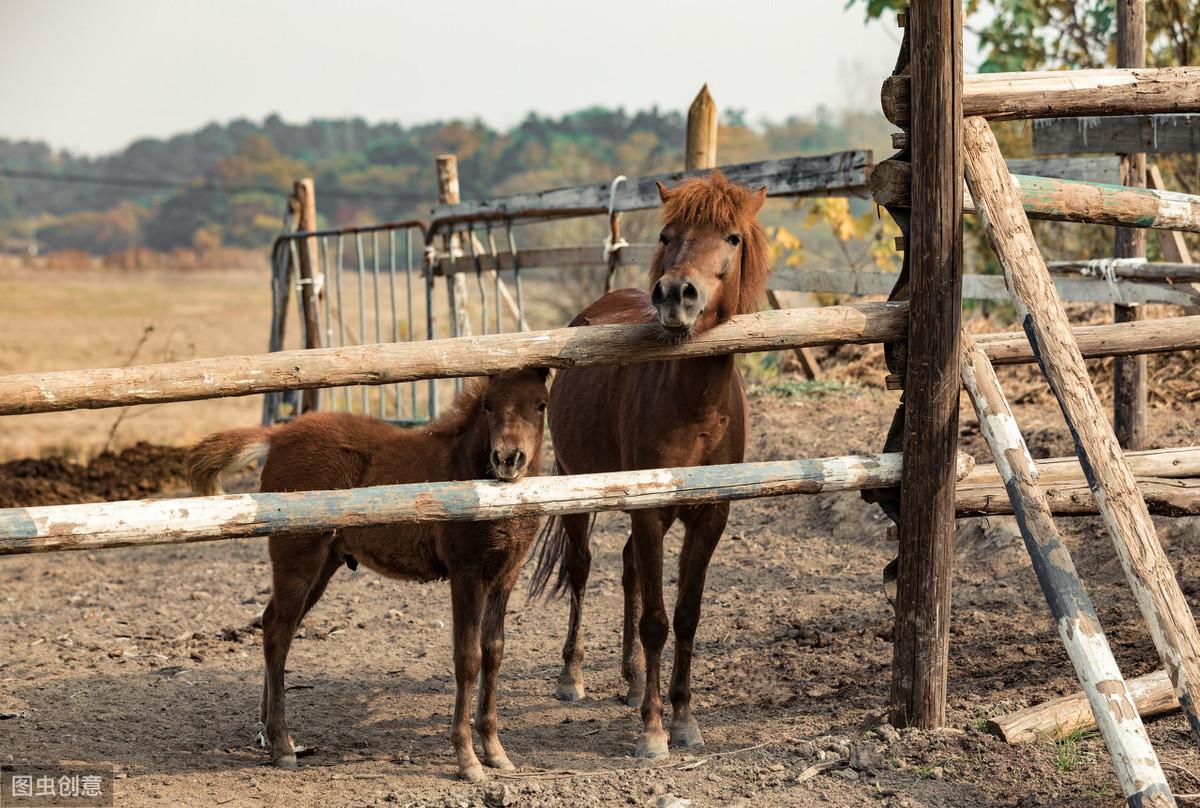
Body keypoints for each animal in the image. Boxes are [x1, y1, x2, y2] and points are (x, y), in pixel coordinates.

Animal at [186, 369, 549, 777]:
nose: (508, 459)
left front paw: (495, 750)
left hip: (323, 565)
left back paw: (271, 733)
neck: (466, 470)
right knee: (278, 631)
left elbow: (494, 651)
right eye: (488, 404)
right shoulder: (466, 573)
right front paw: (467, 759)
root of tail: (278, 435)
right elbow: (468, 658)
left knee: (272, 622)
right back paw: (282, 746)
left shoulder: (506, 574)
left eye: (541, 404)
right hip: (298, 555)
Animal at [532, 172, 768, 758]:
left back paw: (635, 678)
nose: (675, 295)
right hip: (579, 487)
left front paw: (683, 719)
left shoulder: (710, 518)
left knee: (628, 569)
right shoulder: (650, 511)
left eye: (732, 237)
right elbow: (657, 621)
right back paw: (573, 677)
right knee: (582, 568)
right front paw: (654, 730)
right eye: (667, 235)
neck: (696, 405)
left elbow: (686, 615)